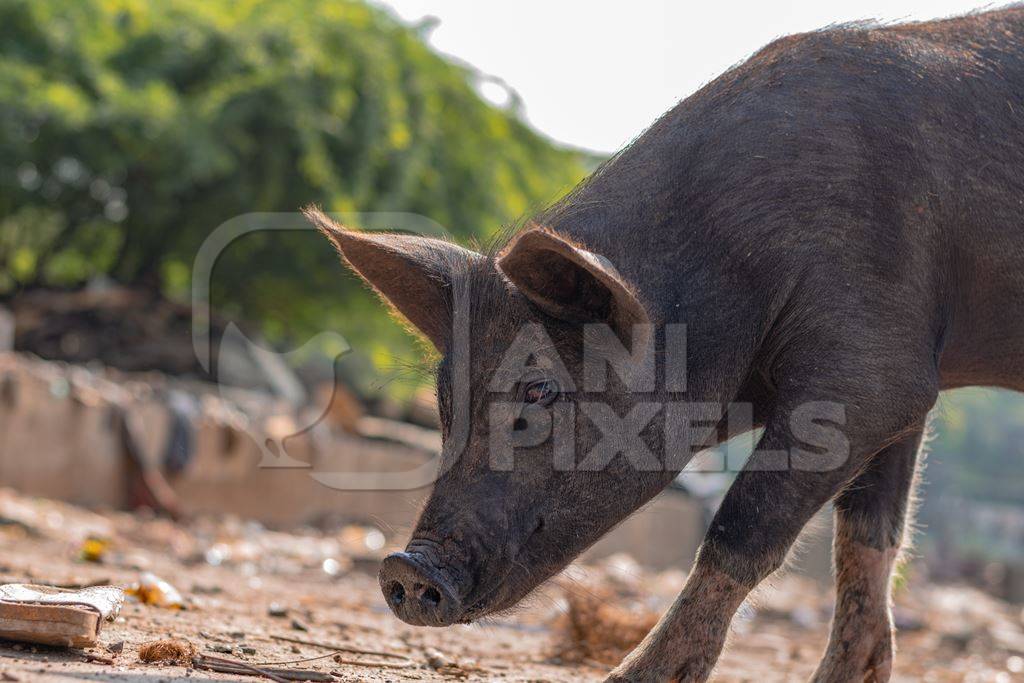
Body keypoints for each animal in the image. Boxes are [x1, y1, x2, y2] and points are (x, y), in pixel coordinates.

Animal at [307, 6, 1024, 683]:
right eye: (443, 396)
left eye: (539, 389)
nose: (404, 568)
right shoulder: (908, 374)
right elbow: (869, 536)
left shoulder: (873, 372)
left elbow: (743, 526)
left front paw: (629, 677)